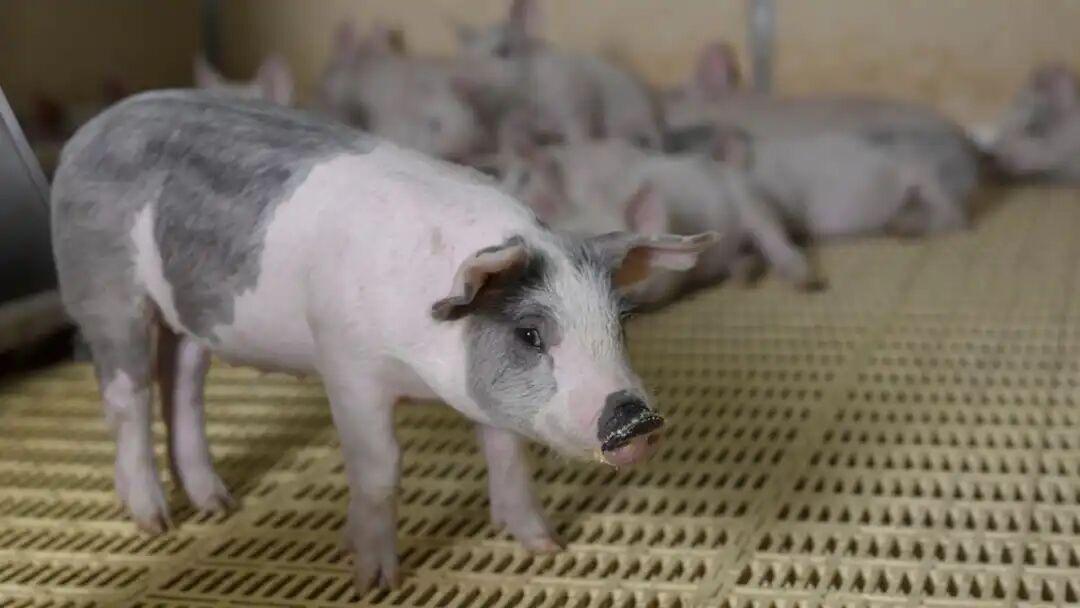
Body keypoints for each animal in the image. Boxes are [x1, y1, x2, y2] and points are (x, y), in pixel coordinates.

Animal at [50, 90, 717, 592]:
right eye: (530, 333)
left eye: (620, 323)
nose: (635, 420)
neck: (422, 363)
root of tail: (88, 132)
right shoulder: (348, 368)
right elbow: (380, 469)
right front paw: (375, 581)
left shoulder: (485, 397)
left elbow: (507, 455)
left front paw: (545, 546)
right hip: (106, 291)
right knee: (128, 398)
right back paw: (156, 523)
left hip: (190, 319)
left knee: (182, 386)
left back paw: (219, 505)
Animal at [456, 0, 663, 149]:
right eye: (466, 53)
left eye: (503, 51)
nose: (460, 84)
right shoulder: (520, 116)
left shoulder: (573, 109)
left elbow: (579, 137)